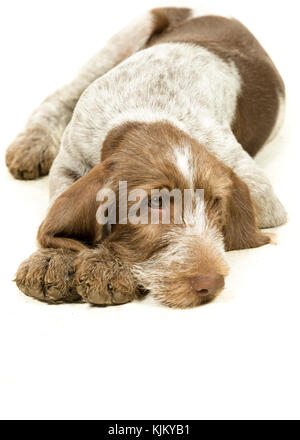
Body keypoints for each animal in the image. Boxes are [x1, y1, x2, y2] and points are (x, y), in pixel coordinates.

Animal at [8, 7, 288, 310]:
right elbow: (60, 202)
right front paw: (54, 260)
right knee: (57, 99)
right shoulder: (69, 159)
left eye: (216, 203)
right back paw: (31, 145)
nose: (211, 284)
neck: (146, 114)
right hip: (124, 40)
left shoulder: (261, 193)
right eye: (155, 203)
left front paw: (109, 264)